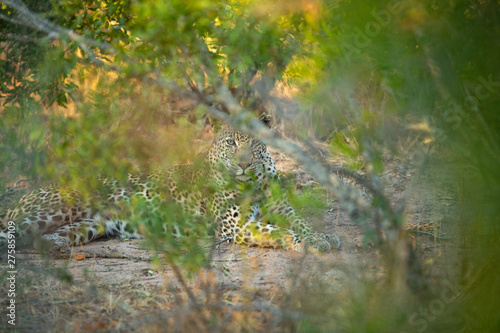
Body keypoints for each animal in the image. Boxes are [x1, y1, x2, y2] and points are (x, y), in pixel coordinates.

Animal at [0, 115, 340, 253]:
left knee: (46, 238)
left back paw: (52, 248)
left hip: (85, 226)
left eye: (254, 143)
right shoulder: (237, 226)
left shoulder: (282, 208)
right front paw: (306, 243)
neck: (254, 180)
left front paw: (323, 237)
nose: (243, 164)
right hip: (51, 210)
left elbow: (300, 221)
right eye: (231, 142)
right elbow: (280, 232)